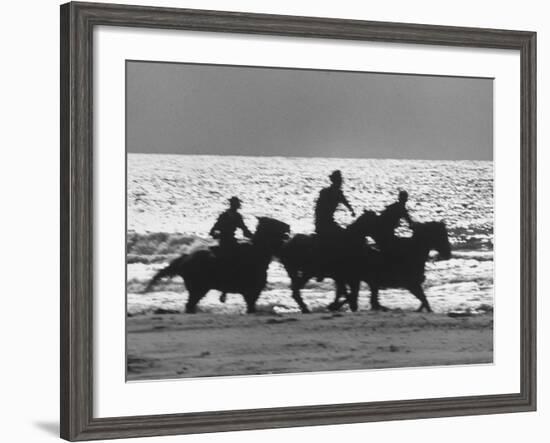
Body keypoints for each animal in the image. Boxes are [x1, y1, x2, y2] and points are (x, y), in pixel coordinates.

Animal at [147, 217, 294, 314]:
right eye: (274, 223)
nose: (288, 226)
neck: (257, 253)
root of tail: (185, 258)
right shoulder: (252, 292)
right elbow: (251, 306)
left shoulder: (251, 293)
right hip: (198, 289)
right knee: (190, 304)